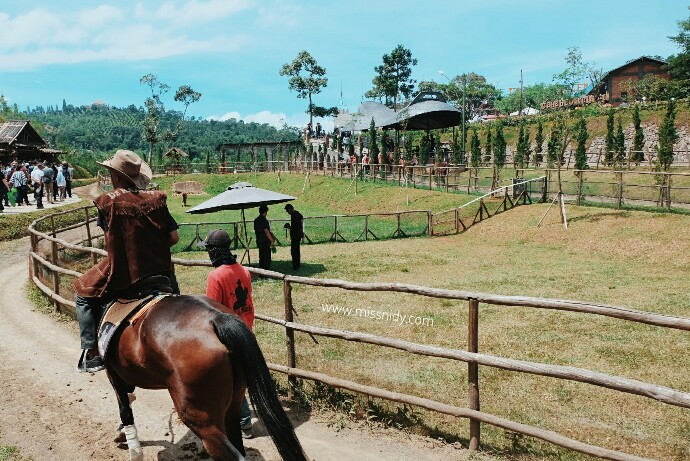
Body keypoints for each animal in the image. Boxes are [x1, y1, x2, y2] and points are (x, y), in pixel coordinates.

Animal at [105, 294, 306, 460]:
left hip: (201, 419)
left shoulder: (113, 373)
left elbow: (124, 408)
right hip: (232, 404)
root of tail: (217, 318)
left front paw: (132, 448)